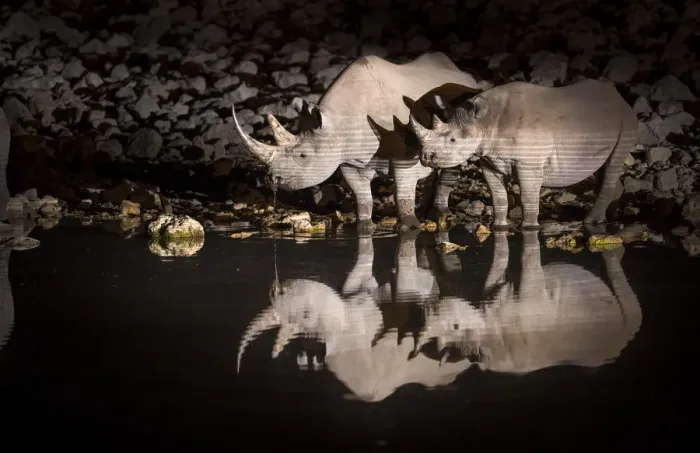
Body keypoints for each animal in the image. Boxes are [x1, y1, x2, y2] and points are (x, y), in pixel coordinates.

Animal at [231, 52, 482, 231]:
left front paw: (409, 226)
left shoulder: (404, 154)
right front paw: (363, 227)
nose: (271, 179)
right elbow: (362, 199)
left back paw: (439, 215)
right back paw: (426, 211)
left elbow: (402, 192)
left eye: (303, 155)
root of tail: (465, 74)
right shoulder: (349, 158)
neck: (338, 122)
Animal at [409, 79, 639, 229]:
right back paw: (611, 214)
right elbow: (498, 196)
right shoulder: (489, 160)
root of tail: (620, 98)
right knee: (605, 168)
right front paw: (498, 226)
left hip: (626, 122)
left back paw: (591, 221)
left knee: (613, 164)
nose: (425, 157)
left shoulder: (529, 163)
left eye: (453, 140)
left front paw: (528, 228)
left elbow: (528, 197)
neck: (484, 121)